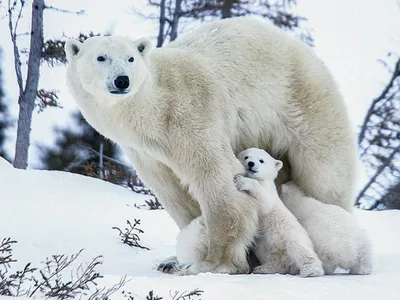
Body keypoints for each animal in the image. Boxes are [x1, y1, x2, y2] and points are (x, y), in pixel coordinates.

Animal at [65, 15, 356, 274]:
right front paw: (176, 259)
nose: (122, 80)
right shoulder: (144, 151)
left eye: (130, 58)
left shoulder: (190, 114)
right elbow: (173, 192)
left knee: (324, 178)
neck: (154, 111)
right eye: (100, 57)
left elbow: (217, 177)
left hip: (305, 108)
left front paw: (215, 263)